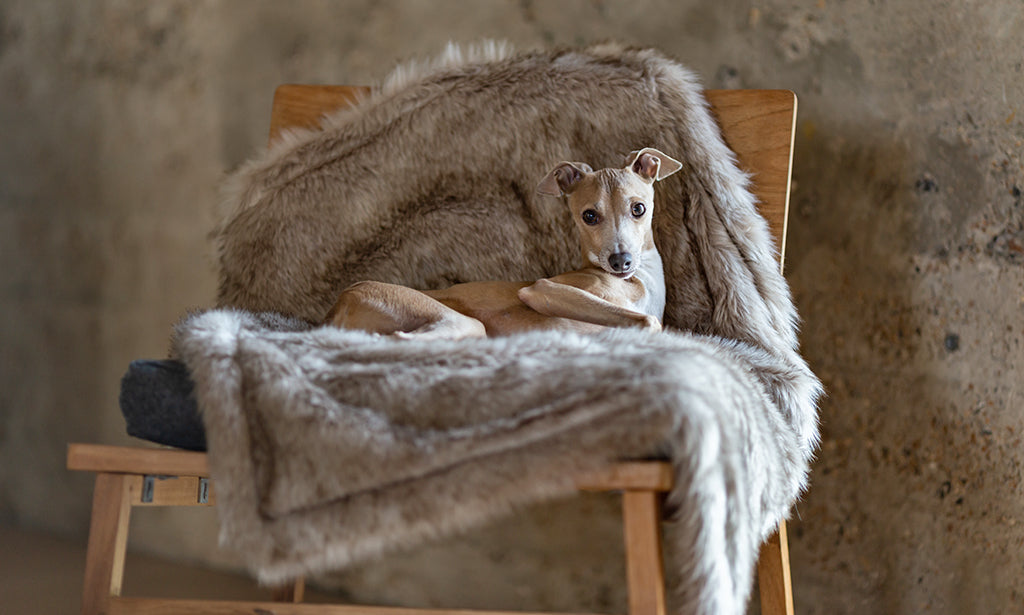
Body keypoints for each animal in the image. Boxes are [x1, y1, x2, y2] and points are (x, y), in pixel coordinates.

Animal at [323, 147, 684, 339]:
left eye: (638, 208)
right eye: (589, 216)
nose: (620, 261)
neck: (640, 282)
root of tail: (334, 312)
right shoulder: (544, 290)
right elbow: (647, 321)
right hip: (454, 319)